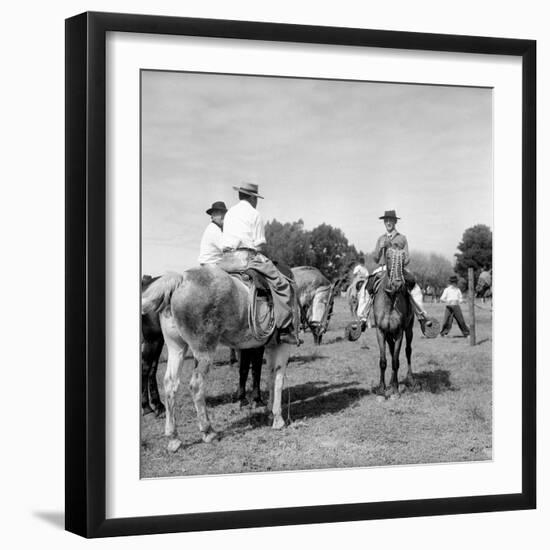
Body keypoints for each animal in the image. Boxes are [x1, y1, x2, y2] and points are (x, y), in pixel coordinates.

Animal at [142, 266, 294, 452]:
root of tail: (181, 279)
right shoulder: (282, 346)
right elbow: (278, 380)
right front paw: (278, 419)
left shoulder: (271, 347)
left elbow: (271, 378)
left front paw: (269, 411)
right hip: (202, 351)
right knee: (196, 385)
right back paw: (208, 431)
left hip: (175, 347)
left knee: (170, 385)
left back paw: (173, 438)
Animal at [374, 250, 416, 402]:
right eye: (387, 257)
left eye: (403, 259)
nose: (397, 285)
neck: (390, 301)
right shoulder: (381, 332)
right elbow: (383, 361)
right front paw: (381, 391)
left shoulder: (399, 332)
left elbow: (396, 361)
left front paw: (396, 391)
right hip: (388, 335)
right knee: (392, 352)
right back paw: (391, 382)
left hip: (409, 330)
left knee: (408, 351)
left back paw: (409, 379)